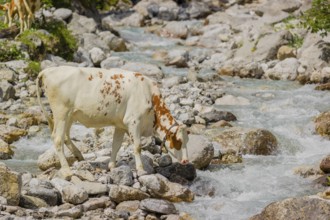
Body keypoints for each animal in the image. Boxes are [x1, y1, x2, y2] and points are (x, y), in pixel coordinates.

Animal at [36, 65, 189, 179]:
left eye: (187, 141)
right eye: (178, 141)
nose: (186, 161)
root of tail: (47, 70)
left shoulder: (120, 125)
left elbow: (116, 145)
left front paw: (112, 166)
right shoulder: (133, 121)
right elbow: (137, 147)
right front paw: (140, 169)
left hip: (70, 115)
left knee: (66, 137)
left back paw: (80, 157)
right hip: (61, 112)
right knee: (57, 139)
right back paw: (67, 171)